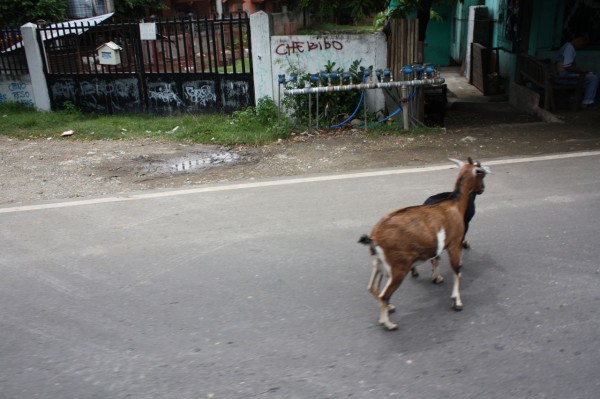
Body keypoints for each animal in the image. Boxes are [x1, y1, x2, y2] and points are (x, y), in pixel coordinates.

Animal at [410, 156, 486, 284]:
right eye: (480, 175)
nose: (483, 189)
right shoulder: (465, 222)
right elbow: (461, 240)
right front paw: (460, 259)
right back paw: (436, 277)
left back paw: (415, 271)